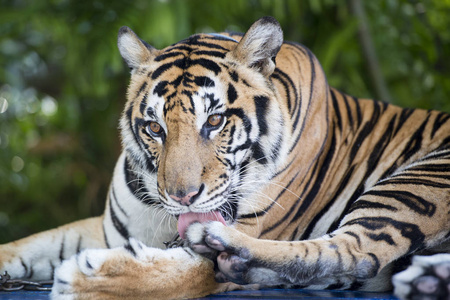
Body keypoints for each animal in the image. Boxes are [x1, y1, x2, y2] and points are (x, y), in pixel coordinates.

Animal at [0, 17, 448, 300]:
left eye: (214, 121)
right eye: (155, 129)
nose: (182, 197)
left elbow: (181, 275)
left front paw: (88, 280)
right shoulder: (110, 228)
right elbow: (28, 245)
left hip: (416, 181)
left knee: (353, 253)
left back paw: (222, 245)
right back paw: (428, 280)